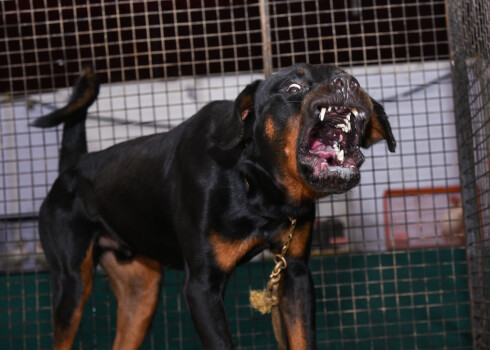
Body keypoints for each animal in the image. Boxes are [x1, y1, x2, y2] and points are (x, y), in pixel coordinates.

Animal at [32, 64, 394, 348]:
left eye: (348, 77)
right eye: (293, 87)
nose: (348, 83)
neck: (256, 190)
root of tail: (72, 168)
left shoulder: (295, 275)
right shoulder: (201, 286)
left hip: (141, 294)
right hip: (72, 284)